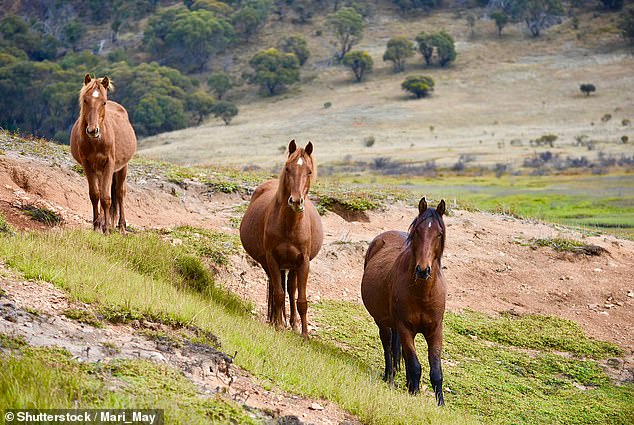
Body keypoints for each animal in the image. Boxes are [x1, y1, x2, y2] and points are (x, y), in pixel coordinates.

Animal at [69, 73, 136, 232]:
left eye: (104, 102)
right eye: (85, 100)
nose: (93, 130)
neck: (96, 142)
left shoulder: (110, 164)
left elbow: (106, 197)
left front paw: (106, 229)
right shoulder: (87, 165)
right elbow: (95, 195)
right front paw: (97, 226)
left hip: (122, 167)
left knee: (120, 192)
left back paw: (121, 226)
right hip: (98, 170)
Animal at [239, 139, 324, 338]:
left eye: (309, 171)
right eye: (287, 168)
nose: (296, 201)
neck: (289, 225)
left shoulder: (303, 262)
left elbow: (301, 300)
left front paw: (305, 335)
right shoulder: (272, 259)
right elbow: (278, 294)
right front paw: (278, 326)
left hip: (292, 266)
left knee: (291, 290)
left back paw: (293, 324)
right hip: (269, 263)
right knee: (276, 288)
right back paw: (276, 320)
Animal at [360, 197, 444, 406]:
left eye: (439, 234)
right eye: (417, 231)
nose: (423, 270)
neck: (422, 293)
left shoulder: (435, 330)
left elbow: (436, 372)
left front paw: (440, 404)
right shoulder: (405, 327)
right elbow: (414, 365)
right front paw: (413, 393)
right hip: (383, 322)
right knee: (388, 345)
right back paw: (389, 377)